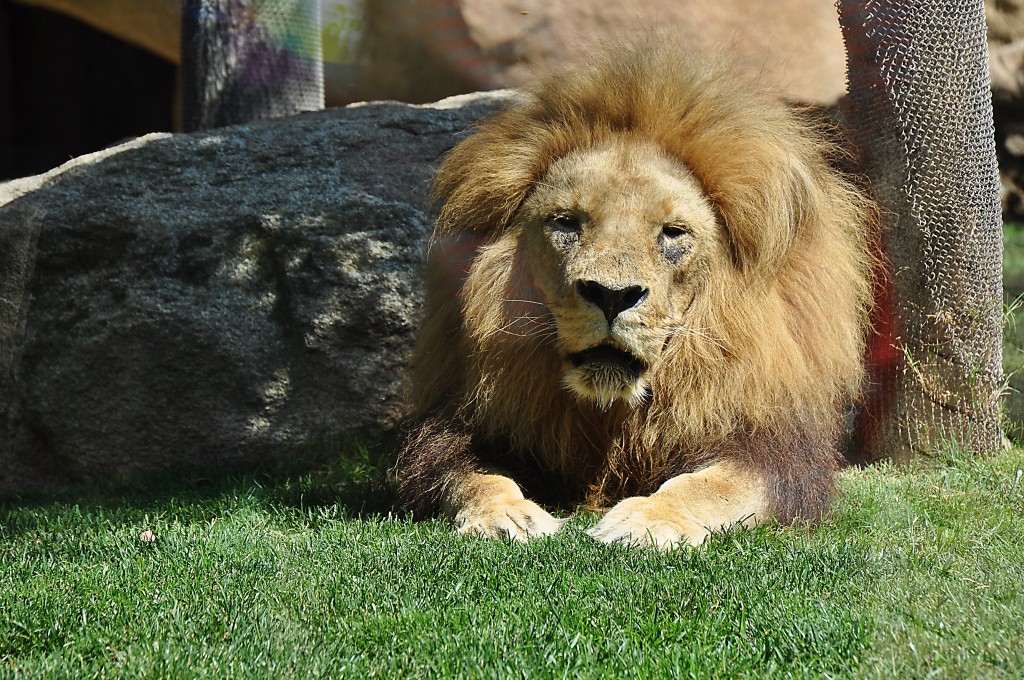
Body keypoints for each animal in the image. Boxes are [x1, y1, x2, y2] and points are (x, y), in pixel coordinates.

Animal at [391, 46, 872, 548]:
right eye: (566, 222)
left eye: (673, 233)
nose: (612, 296)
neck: (612, 412)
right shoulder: (469, 427)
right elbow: (473, 476)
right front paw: (505, 516)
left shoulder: (773, 452)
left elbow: (713, 485)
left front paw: (648, 520)